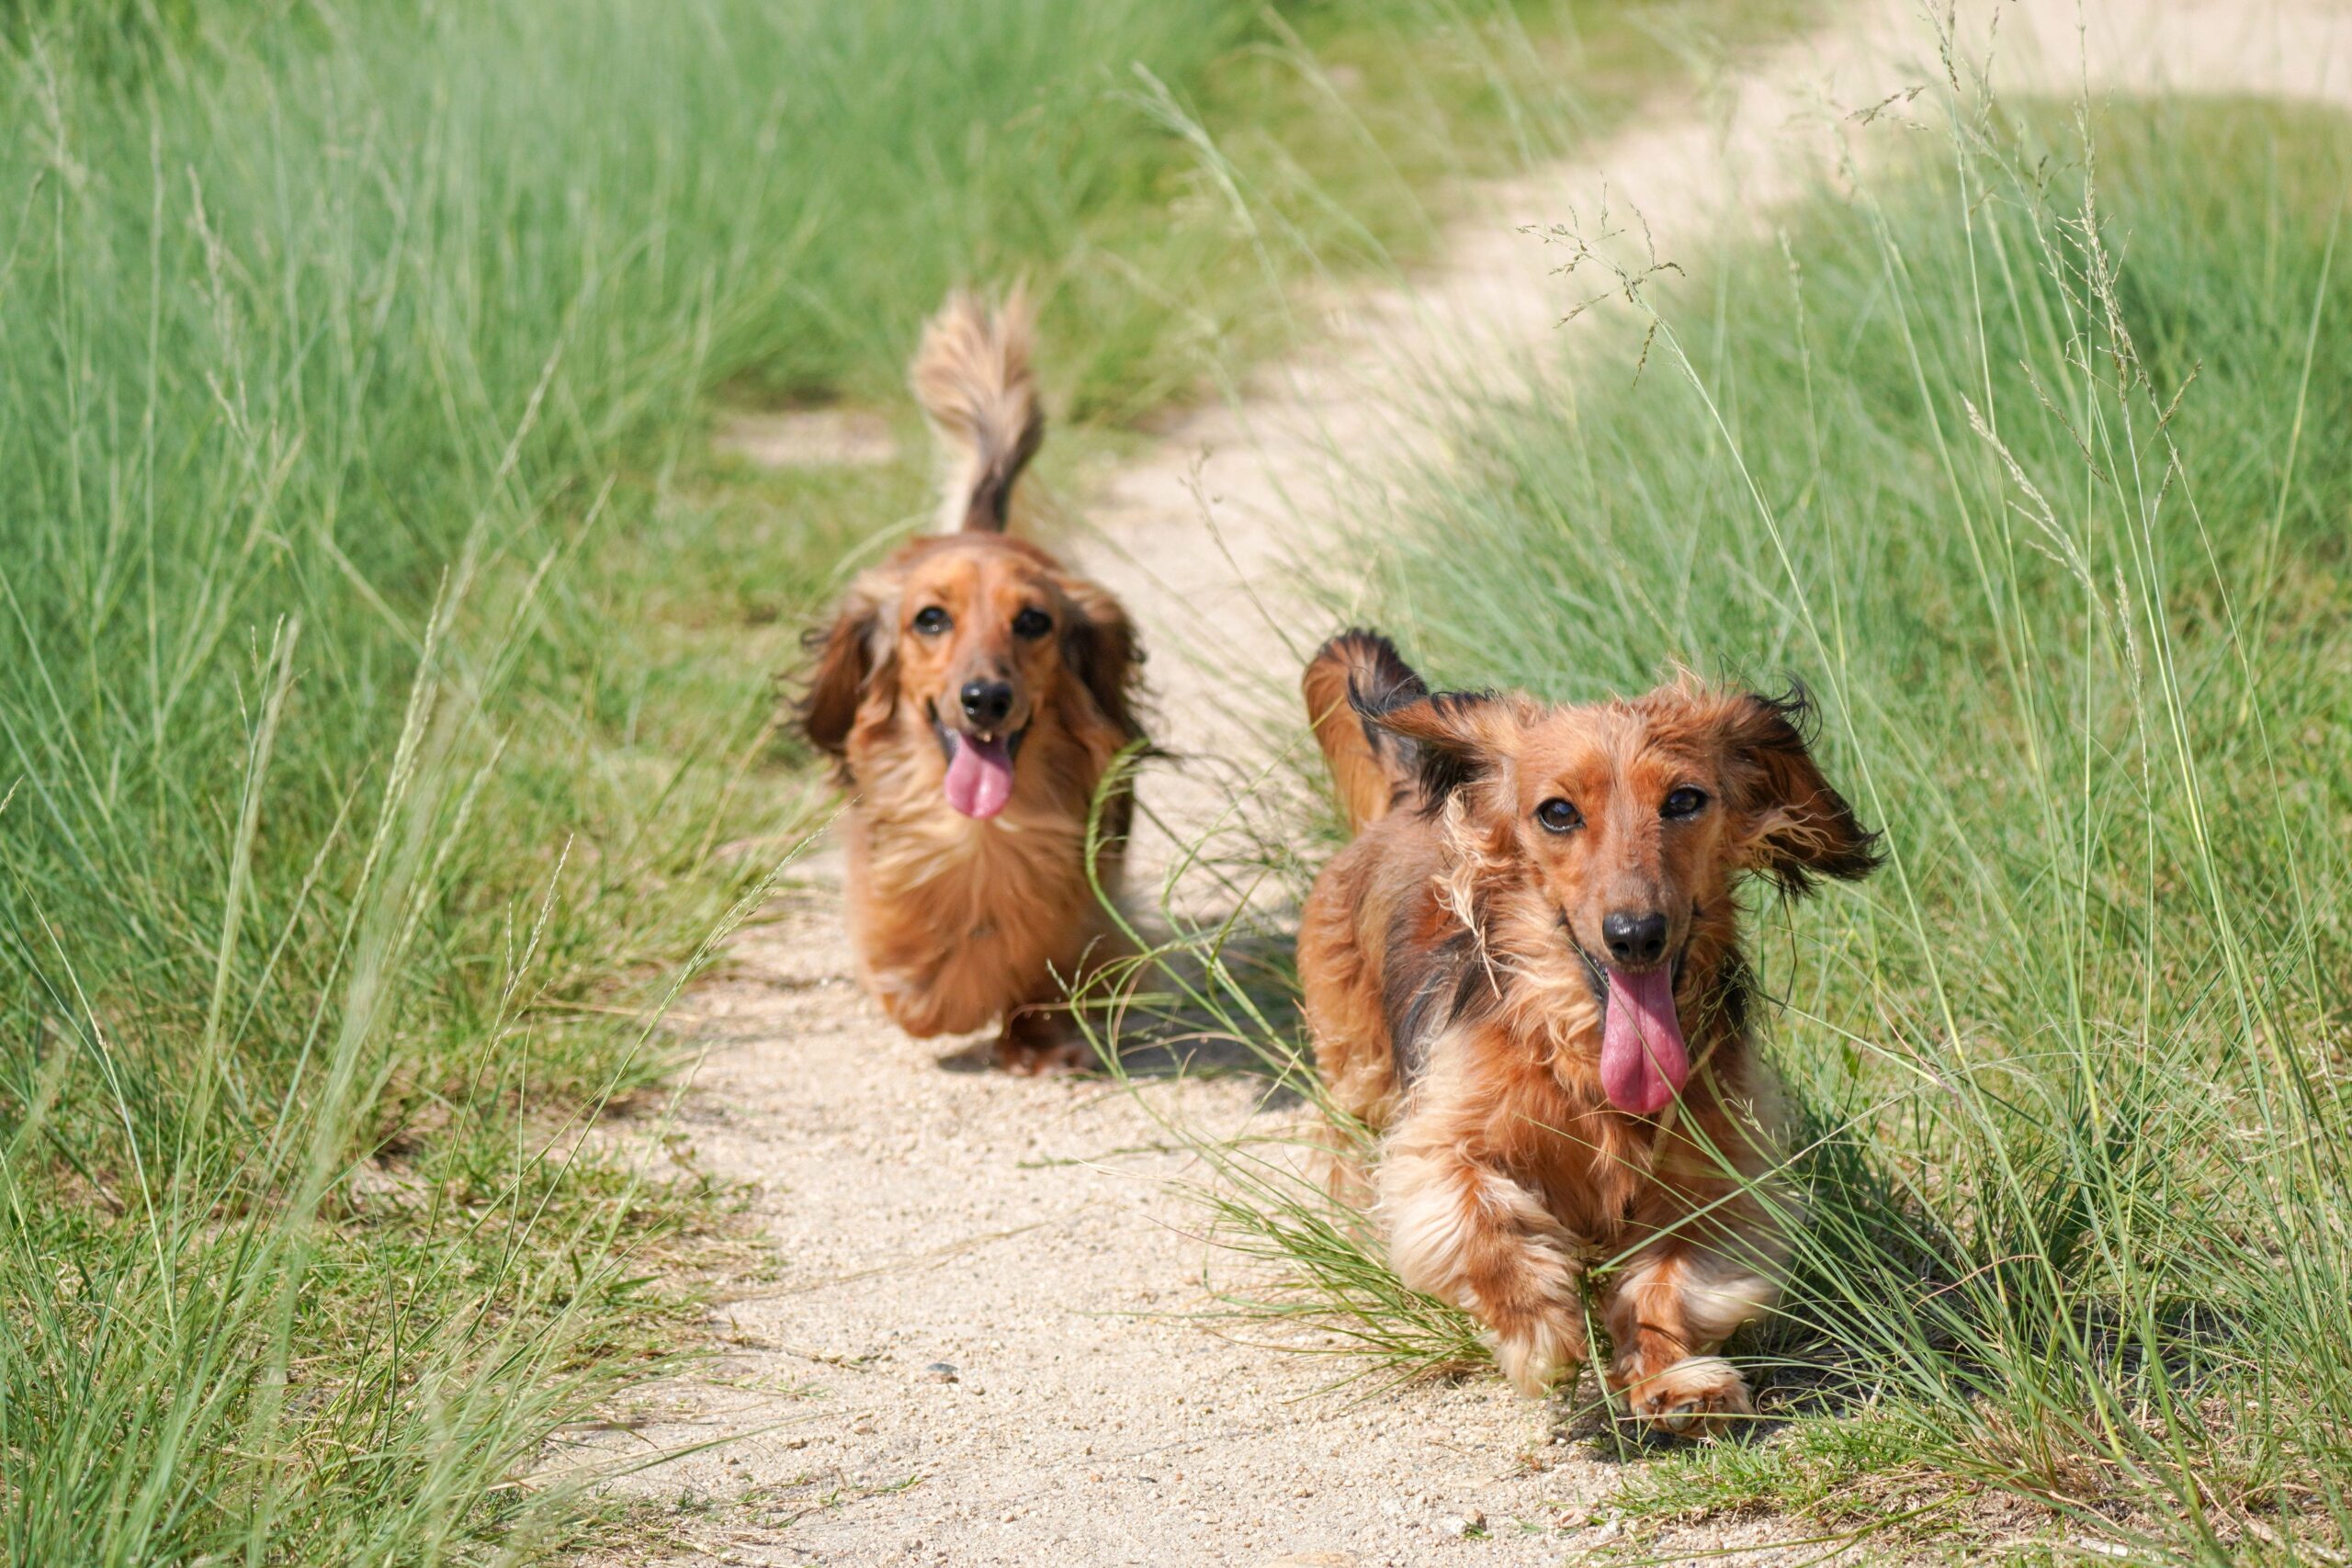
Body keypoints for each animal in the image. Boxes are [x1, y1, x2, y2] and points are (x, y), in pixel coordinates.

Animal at [799, 292, 1148, 1072]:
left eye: (1034, 621)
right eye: (930, 619)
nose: (986, 699)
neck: (983, 834)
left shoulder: (1086, 897)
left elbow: (1058, 957)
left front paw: (1040, 1038)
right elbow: (914, 971)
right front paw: (937, 990)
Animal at [1288, 629, 1871, 1438]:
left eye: (1684, 799)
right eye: (1558, 813)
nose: (1636, 935)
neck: (1586, 1056)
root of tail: (1408, 797)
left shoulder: (1716, 1178)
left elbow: (1670, 1279)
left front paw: (1672, 1379)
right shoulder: (1440, 1145)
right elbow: (1481, 1220)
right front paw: (1540, 1327)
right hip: (1359, 1070)